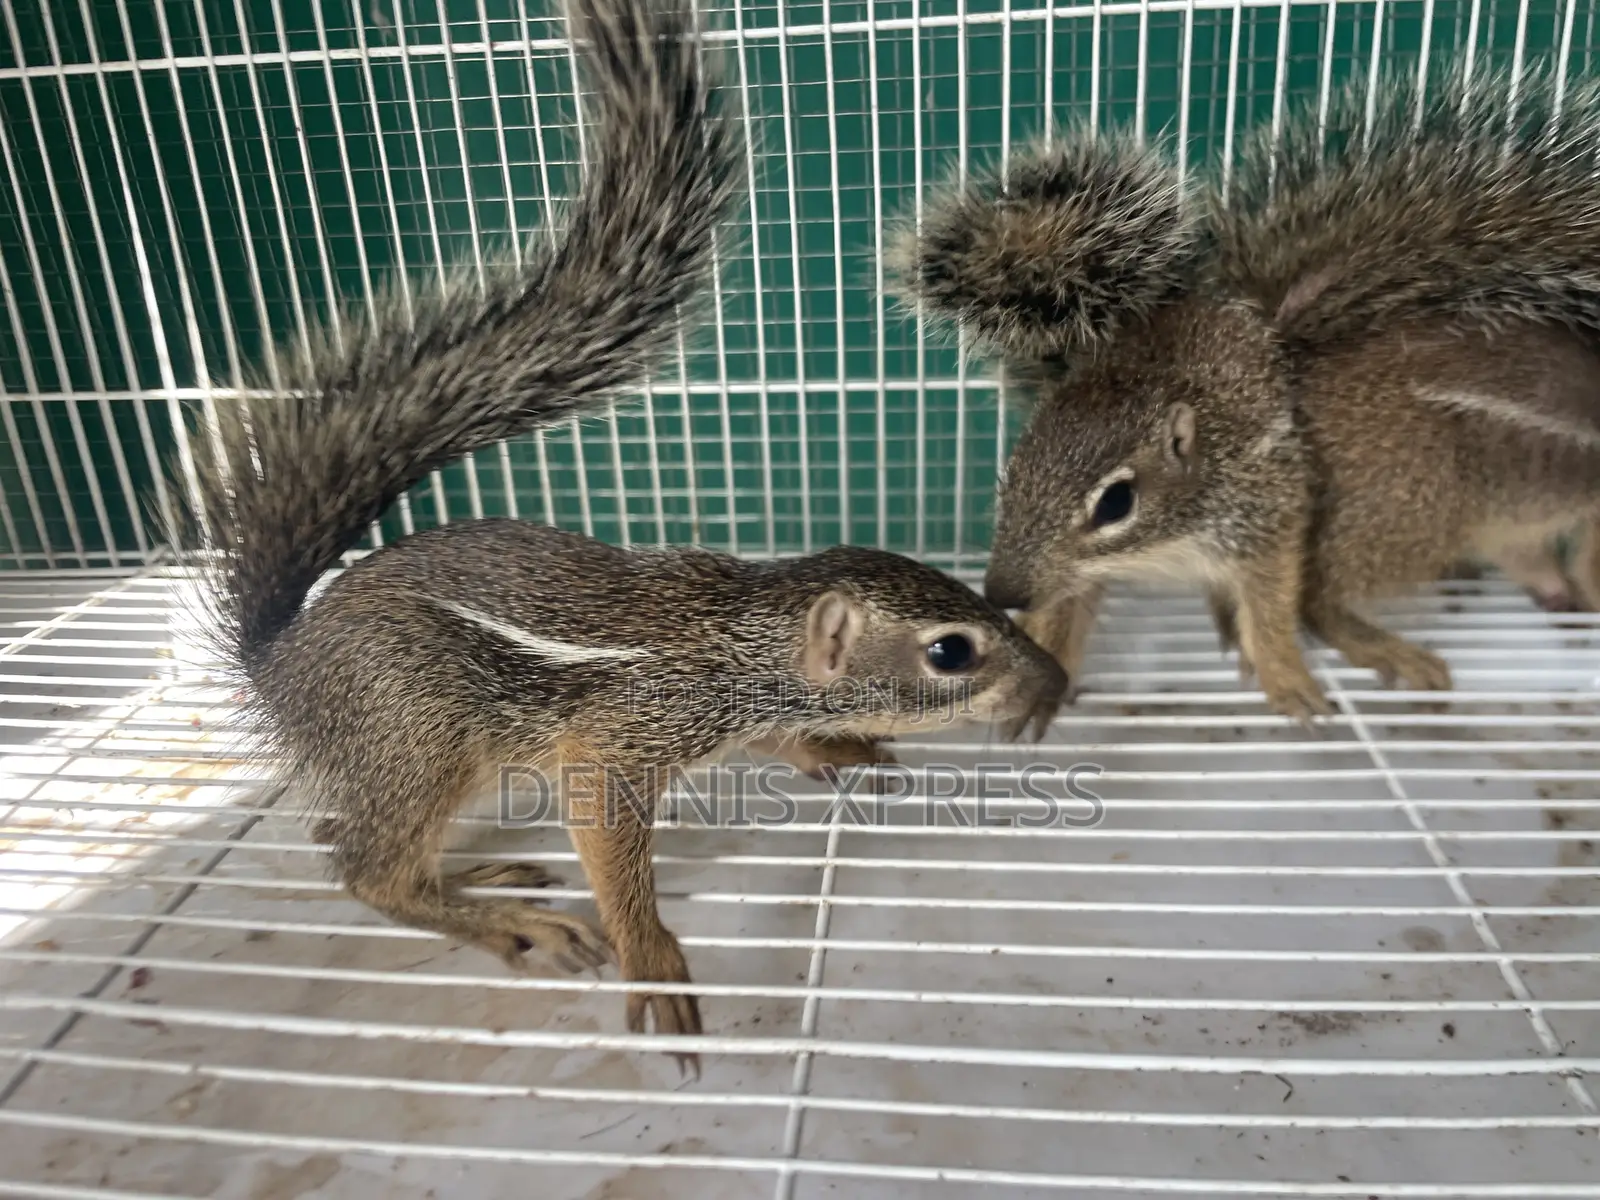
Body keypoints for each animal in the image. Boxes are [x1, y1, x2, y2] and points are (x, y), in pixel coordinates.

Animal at [168, 0, 1068, 1072]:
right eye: (950, 651)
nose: (1055, 684)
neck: (740, 637)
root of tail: (276, 658)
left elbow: (788, 740)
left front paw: (833, 748)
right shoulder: (620, 739)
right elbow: (605, 834)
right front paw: (652, 957)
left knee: (350, 840)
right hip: (419, 732)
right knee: (368, 873)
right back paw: (504, 922)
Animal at [887, 60, 1600, 729]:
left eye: (1116, 503)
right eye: (1009, 476)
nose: (1003, 592)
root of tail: (1262, 327)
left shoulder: (1263, 521)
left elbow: (1273, 607)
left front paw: (1287, 680)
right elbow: (1067, 611)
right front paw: (1043, 679)